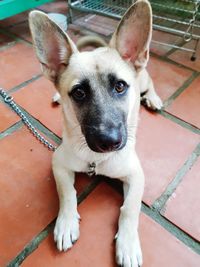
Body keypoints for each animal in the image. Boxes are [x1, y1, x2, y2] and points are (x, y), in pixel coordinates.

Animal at [28, 1, 162, 266]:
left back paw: (153, 98)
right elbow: (66, 192)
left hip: (143, 80)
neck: (96, 161)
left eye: (120, 86)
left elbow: (130, 208)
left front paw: (128, 243)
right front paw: (66, 221)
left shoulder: (136, 175)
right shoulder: (58, 163)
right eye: (79, 93)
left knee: (150, 83)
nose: (109, 142)